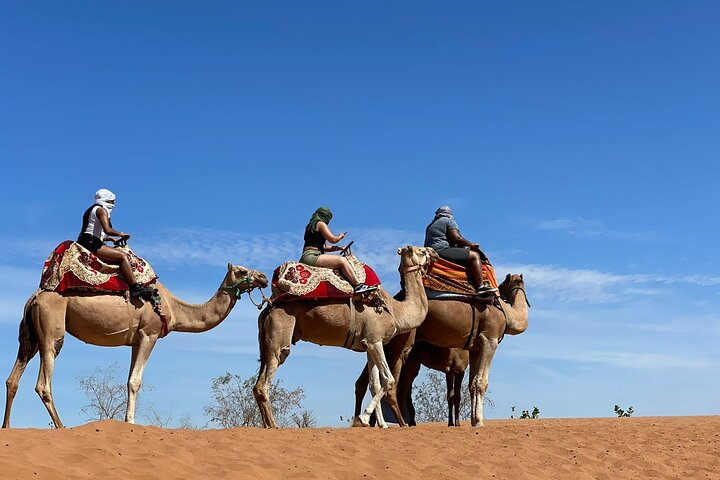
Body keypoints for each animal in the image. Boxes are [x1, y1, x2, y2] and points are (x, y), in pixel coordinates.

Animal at [3, 263, 268, 428]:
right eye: (242, 270)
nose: (264, 277)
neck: (173, 308)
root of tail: (35, 297)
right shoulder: (149, 334)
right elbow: (135, 381)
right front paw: (131, 421)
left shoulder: (134, 341)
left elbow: (129, 379)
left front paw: (125, 419)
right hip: (52, 331)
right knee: (43, 383)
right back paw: (60, 425)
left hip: (30, 337)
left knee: (13, 378)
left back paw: (7, 426)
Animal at [253, 246, 438, 428]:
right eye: (421, 251)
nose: (434, 253)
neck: (395, 311)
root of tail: (269, 307)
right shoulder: (375, 340)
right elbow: (388, 380)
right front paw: (363, 418)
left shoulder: (369, 345)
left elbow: (374, 383)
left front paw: (382, 425)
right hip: (280, 335)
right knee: (266, 381)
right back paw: (273, 425)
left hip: (267, 343)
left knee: (257, 385)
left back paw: (267, 424)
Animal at [354, 273, 529, 427]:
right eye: (510, 283)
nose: (501, 291)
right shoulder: (489, 340)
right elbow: (480, 383)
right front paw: (479, 421)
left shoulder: (474, 348)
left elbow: (471, 384)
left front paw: (472, 421)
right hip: (402, 345)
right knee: (395, 384)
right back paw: (400, 423)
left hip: (386, 343)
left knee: (365, 381)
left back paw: (364, 421)